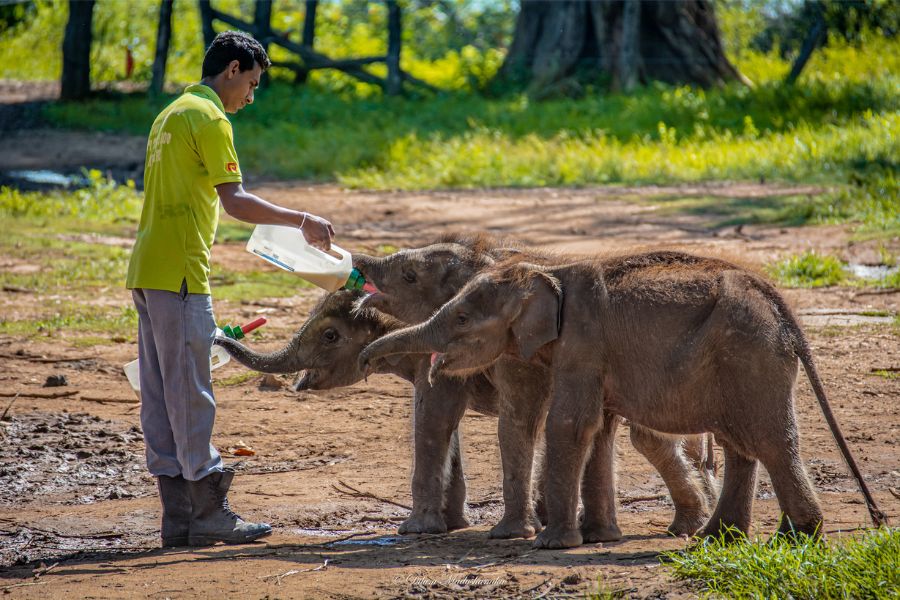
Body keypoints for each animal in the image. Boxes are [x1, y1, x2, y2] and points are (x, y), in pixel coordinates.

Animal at [362, 251, 888, 548]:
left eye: (463, 318)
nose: (366, 359)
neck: (548, 274)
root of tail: (785, 310)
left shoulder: (583, 341)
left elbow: (569, 424)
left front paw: (553, 545)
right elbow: (598, 428)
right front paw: (596, 538)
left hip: (751, 355)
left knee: (772, 442)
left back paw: (797, 538)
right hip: (744, 362)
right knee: (741, 444)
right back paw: (719, 538)